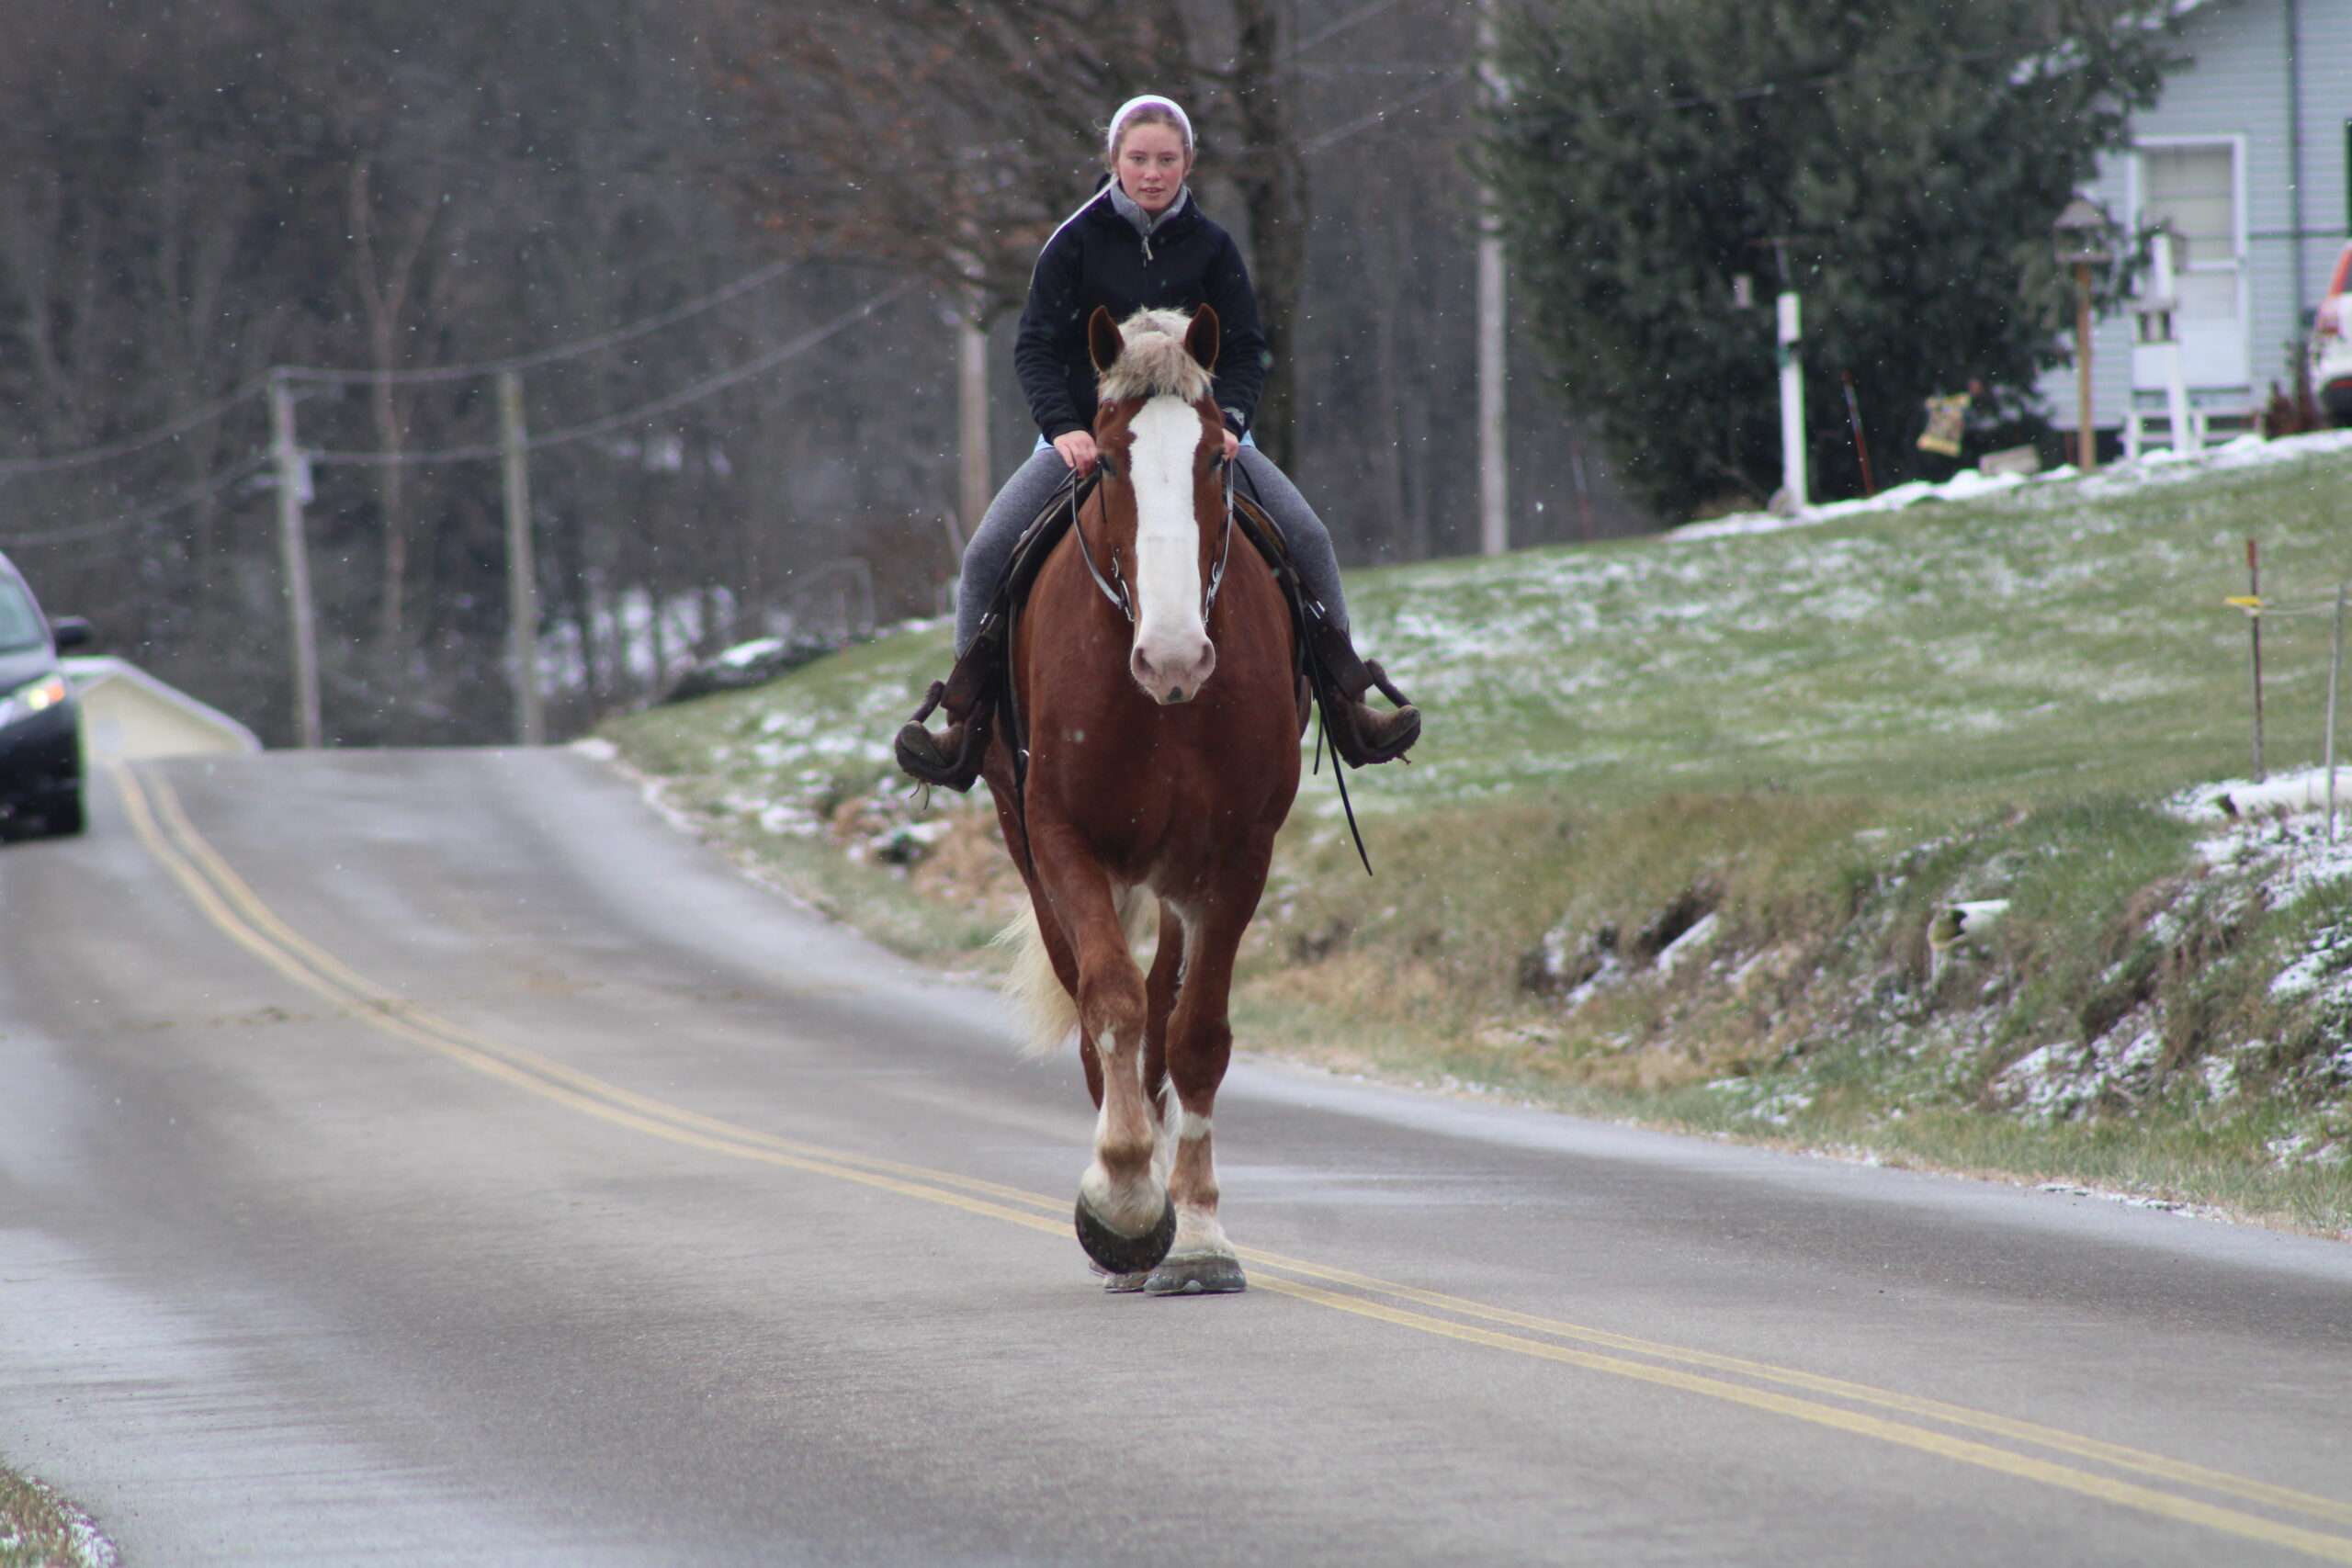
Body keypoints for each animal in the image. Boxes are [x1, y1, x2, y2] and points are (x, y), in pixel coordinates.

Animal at [982, 303, 1304, 1295]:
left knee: (1165, 1010)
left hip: (1174, 880)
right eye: (1112, 462)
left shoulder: (1237, 859)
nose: (1173, 659)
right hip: (1035, 848)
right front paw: (1124, 1201)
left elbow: (1196, 1033)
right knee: (1100, 1005)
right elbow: (1111, 1002)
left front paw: (1196, 1234)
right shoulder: (1062, 840)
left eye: (1212, 460)